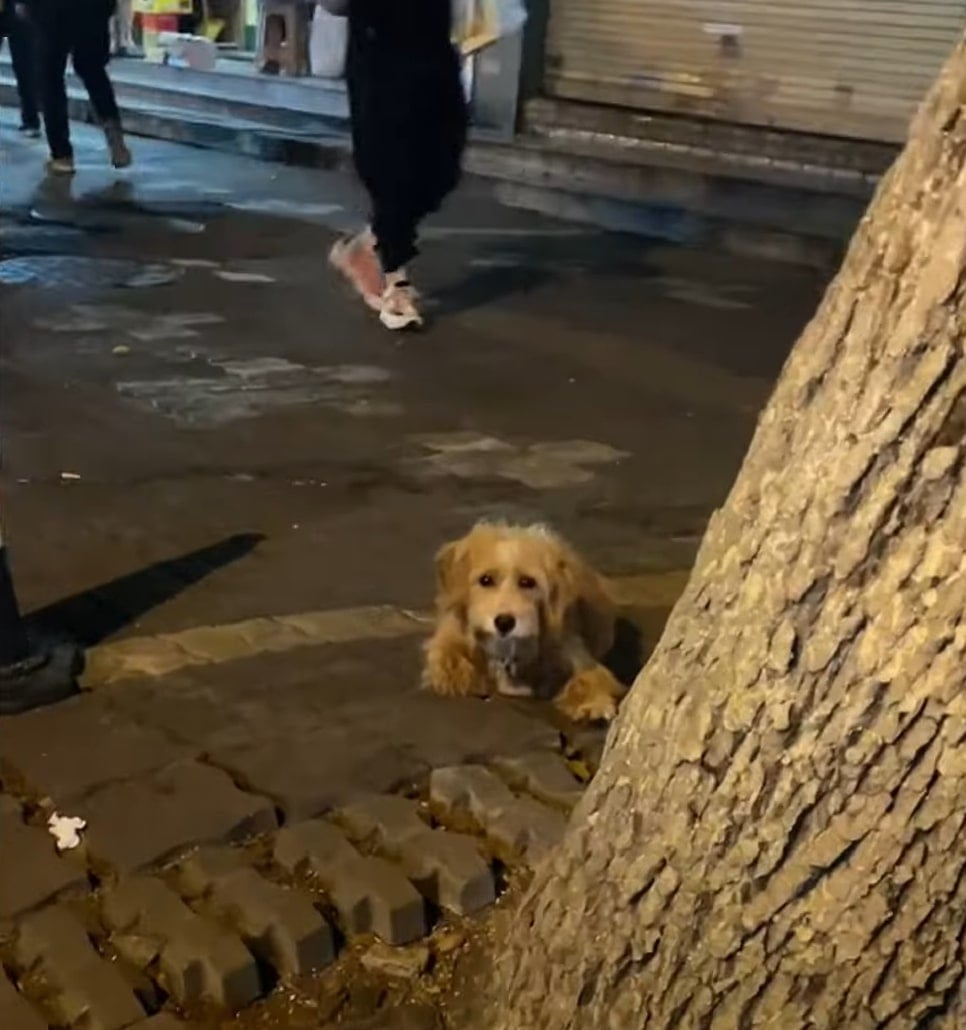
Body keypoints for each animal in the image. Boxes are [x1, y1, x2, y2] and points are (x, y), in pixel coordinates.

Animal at [422, 519, 626, 721]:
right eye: (485, 579)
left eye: (528, 582)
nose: (504, 623)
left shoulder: (575, 654)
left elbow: (591, 678)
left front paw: (593, 703)